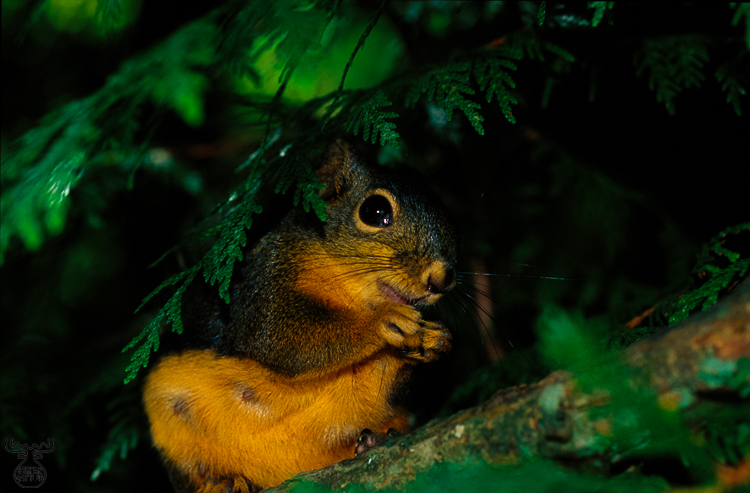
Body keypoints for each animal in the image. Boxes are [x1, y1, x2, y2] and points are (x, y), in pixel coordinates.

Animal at [143, 139, 459, 492]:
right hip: (171, 417)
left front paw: (435, 340)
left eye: (450, 219)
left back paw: (371, 441)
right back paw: (219, 482)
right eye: (375, 211)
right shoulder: (261, 282)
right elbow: (280, 340)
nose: (442, 279)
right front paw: (382, 320)